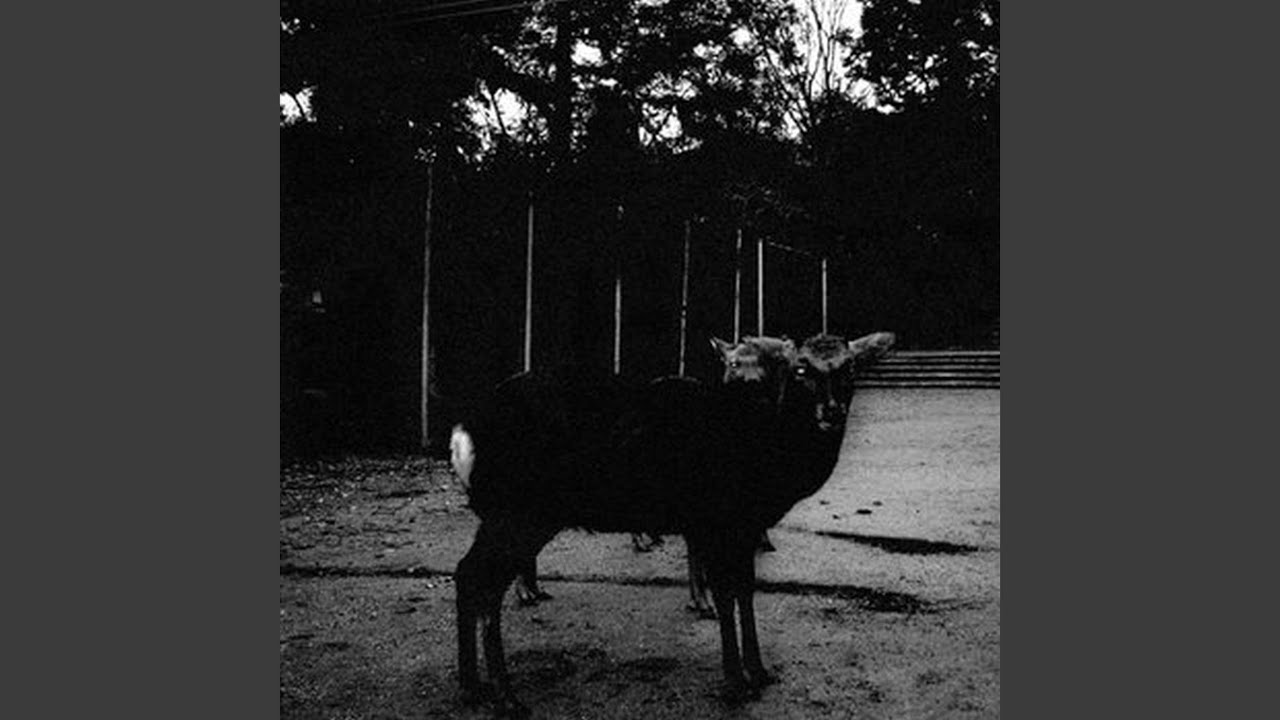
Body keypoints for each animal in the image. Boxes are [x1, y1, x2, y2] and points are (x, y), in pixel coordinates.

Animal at [448, 332, 895, 717]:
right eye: (802, 368)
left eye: (850, 366)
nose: (832, 411)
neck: (766, 458)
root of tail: (460, 435)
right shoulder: (717, 517)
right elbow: (727, 594)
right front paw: (735, 682)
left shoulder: (740, 525)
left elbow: (746, 591)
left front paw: (760, 672)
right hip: (519, 510)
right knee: (484, 583)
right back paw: (506, 695)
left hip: (508, 514)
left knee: (466, 572)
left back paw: (473, 685)